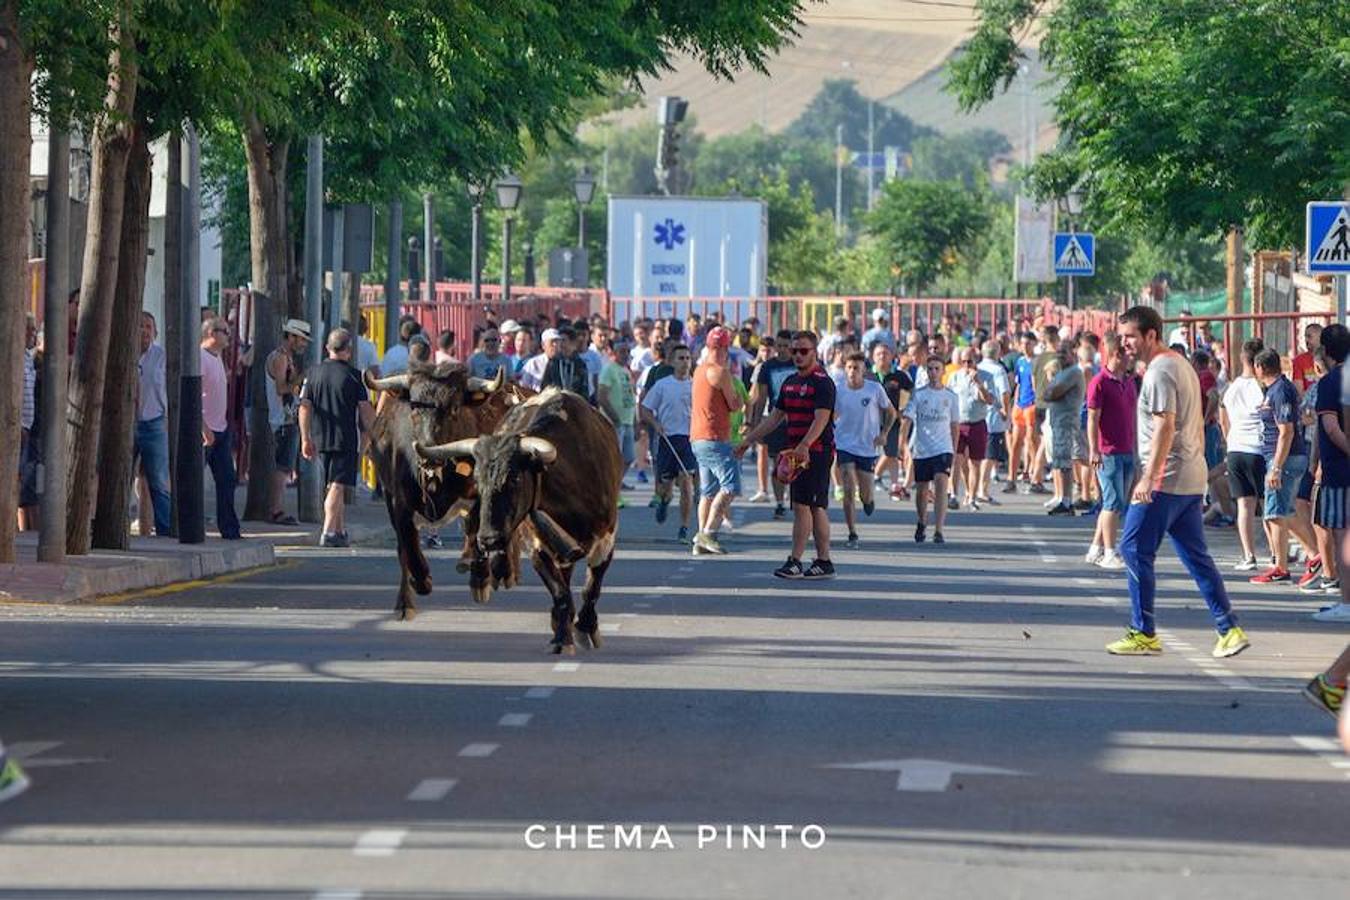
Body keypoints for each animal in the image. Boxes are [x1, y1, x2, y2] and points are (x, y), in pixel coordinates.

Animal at [415, 388, 621, 655]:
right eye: (478, 481)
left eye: (513, 479)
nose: (488, 539)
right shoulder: (536, 545)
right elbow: (560, 592)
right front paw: (562, 637)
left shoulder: (606, 538)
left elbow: (592, 588)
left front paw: (585, 629)